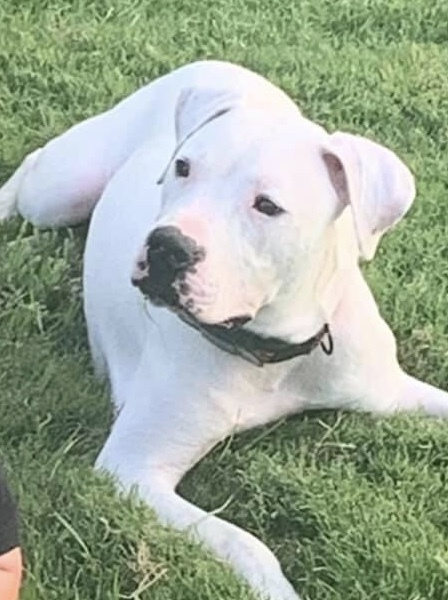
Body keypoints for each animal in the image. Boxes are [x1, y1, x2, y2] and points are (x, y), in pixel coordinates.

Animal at [0, 62, 448, 600]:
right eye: (183, 167)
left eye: (267, 205)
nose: (167, 246)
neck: (272, 352)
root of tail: (214, 64)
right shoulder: (134, 470)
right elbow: (248, 545)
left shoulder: (391, 392)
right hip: (62, 190)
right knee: (31, 172)